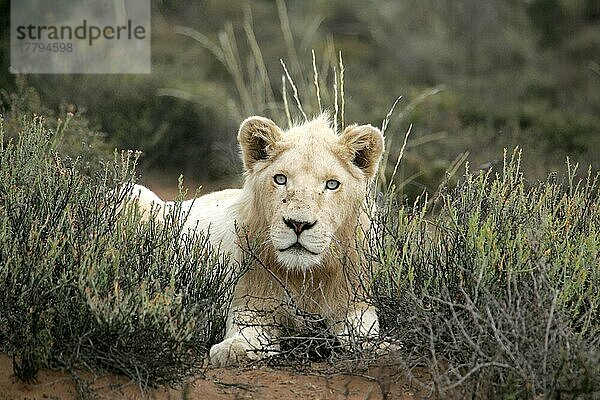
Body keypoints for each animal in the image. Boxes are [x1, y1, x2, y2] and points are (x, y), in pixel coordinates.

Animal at [130, 114, 384, 368]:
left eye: (332, 184)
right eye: (280, 179)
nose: (298, 224)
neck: (303, 277)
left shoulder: (353, 303)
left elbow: (364, 331)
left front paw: (382, 346)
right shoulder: (250, 301)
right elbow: (247, 330)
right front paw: (235, 349)